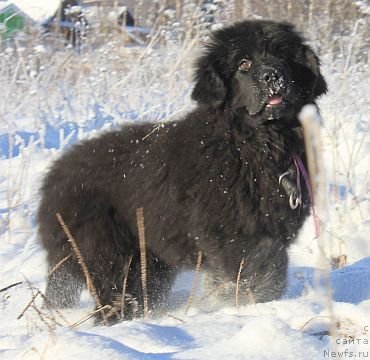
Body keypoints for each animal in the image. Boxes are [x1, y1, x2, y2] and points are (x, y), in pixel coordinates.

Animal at [38, 19, 326, 320]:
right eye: (244, 64)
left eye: (283, 56)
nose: (272, 76)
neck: (254, 144)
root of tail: (51, 182)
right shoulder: (229, 230)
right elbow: (262, 262)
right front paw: (251, 300)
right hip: (106, 251)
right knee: (114, 293)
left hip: (148, 259)